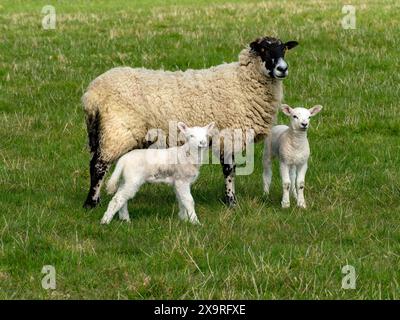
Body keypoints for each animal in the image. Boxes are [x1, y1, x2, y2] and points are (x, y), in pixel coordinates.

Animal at [83, 36, 298, 209]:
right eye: (263, 49)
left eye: (284, 49)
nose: (282, 69)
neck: (242, 82)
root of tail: (92, 94)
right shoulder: (228, 135)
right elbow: (229, 170)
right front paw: (231, 202)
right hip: (117, 131)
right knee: (98, 165)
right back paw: (91, 203)